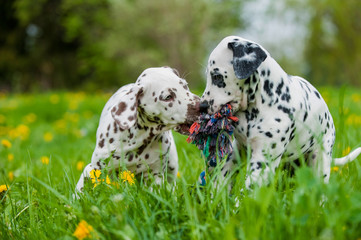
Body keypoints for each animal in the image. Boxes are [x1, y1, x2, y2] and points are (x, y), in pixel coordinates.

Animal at [198, 35, 360, 189]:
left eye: (217, 76)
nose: (202, 106)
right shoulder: (238, 151)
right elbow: (223, 177)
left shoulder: (263, 161)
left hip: (320, 161)